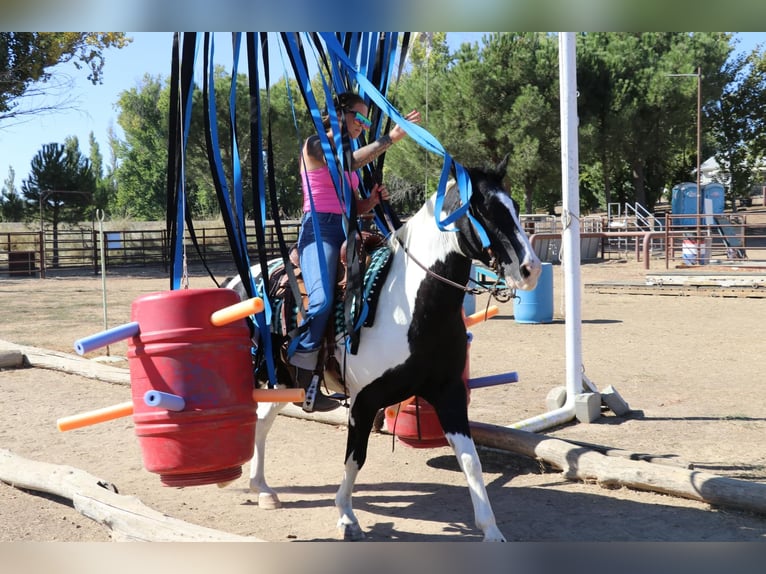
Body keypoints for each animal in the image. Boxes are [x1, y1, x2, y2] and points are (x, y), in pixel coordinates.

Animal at [223, 156, 542, 541]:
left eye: (515, 207)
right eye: (483, 210)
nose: (531, 269)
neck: (412, 306)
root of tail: (239, 279)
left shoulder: (449, 392)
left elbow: (470, 460)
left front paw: (491, 530)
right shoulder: (364, 401)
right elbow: (355, 457)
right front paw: (347, 516)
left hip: (283, 379)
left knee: (262, 420)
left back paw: (263, 489)